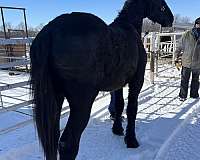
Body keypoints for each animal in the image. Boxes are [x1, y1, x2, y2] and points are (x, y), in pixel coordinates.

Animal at [30, 0, 173, 160]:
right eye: (162, 4)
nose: (171, 19)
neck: (129, 28)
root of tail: (50, 31)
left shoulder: (118, 85)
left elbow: (119, 105)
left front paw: (117, 129)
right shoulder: (136, 82)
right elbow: (131, 109)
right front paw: (131, 140)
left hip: (56, 98)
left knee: (53, 139)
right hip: (82, 103)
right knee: (67, 144)